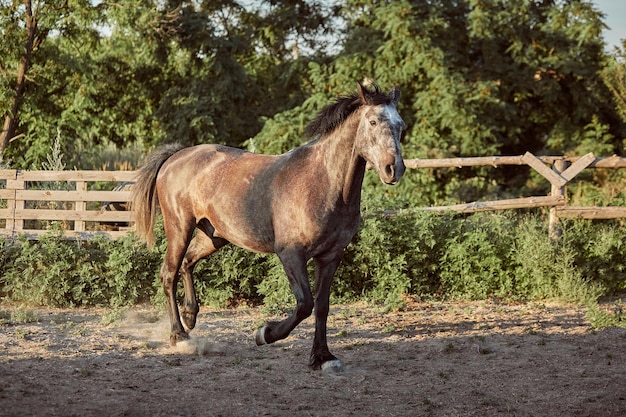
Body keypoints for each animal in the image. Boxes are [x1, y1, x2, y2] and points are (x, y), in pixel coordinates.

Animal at [132, 83, 404, 368]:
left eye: (400, 125)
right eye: (373, 122)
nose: (393, 169)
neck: (324, 183)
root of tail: (175, 157)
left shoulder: (330, 256)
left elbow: (322, 306)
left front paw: (322, 357)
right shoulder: (291, 254)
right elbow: (304, 304)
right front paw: (265, 333)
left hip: (214, 236)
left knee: (187, 263)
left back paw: (190, 316)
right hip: (180, 229)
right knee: (169, 274)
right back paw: (179, 335)